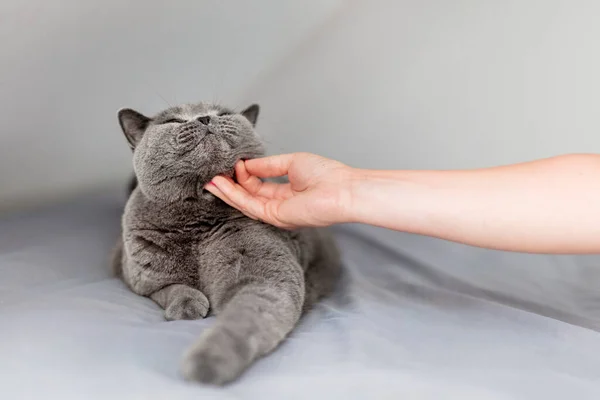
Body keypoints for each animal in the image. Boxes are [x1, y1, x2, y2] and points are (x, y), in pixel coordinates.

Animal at [110, 102, 340, 384]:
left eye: (223, 114)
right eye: (174, 121)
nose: (204, 118)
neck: (197, 224)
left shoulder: (267, 273)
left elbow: (247, 316)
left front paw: (209, 360)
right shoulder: (139, 278)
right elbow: (169, 289)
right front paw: (187, 305)